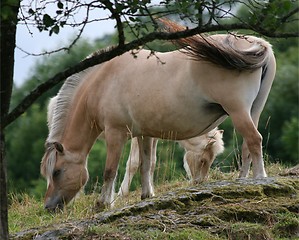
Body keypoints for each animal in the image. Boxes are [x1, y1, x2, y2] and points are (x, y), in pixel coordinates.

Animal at [39, 19, 276, 211]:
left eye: (57, 172)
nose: (48, 207)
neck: (103, 81)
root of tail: (258, 44)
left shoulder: (116, 134)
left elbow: (111, 170)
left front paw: (103, 203)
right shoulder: (145, 134)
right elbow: (147, 163)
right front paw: (146, 195)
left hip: (238, 111)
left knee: (254, 140)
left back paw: (259, 178)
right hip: (252, 111)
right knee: (247, 146)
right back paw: (243, 180)